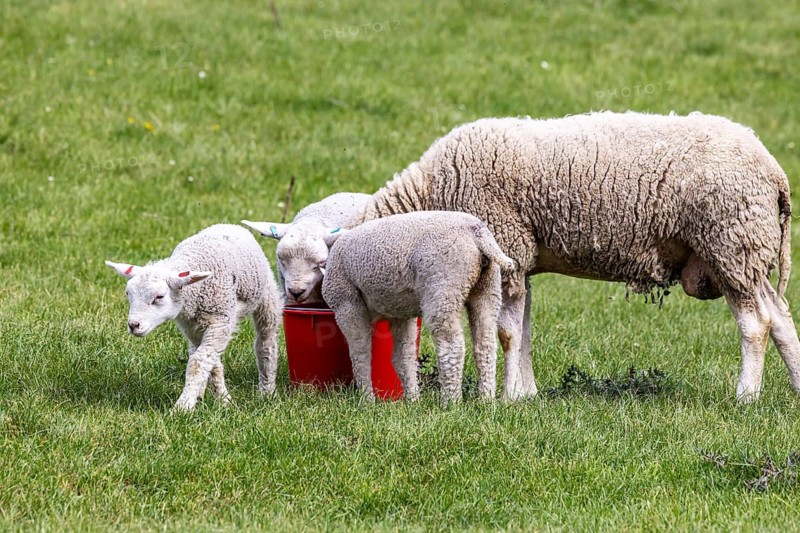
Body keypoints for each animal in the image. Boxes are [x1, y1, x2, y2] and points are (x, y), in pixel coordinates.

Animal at [105, 224, 282, 411]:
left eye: (159, 297)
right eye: (128, 294)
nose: (133, 325)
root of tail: (228, 225)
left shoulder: (221, 321)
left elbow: (198, 362)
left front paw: (183, 406)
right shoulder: (191, 326)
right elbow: (209, 362)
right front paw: (221, 399)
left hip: (267, 297)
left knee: (266, 343)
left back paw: (267, 391)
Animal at [321, 211, 516, 405]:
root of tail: (477, 233)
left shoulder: (347, 304)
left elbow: (360, 353)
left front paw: (367, 399)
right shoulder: (400, 313)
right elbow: (404, 357)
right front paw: (413, 399)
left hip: (443, 285)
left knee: (452, 346)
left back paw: (451, 401)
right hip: (487, 289)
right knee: (485, 345)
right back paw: (486, 399)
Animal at [350, 111, 798, 402]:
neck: (431, 196)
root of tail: (773, 169)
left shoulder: (508, 245)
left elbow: (506, 332)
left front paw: (508, 398)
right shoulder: (521, 258)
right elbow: (523, 328)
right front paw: (526, 394)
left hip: (730, 242)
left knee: (756, 324)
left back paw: (745, 398)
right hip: (746, 251)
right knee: (780, 318)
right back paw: (795, 387)